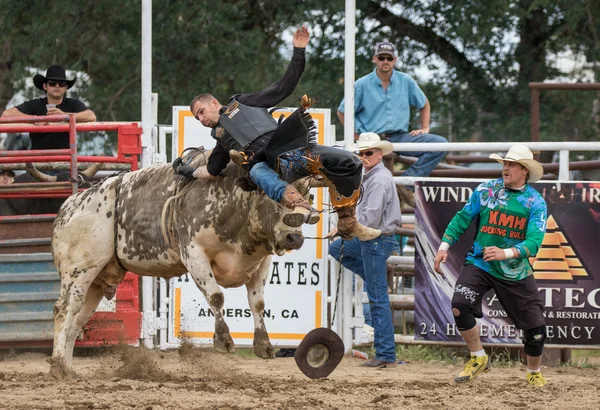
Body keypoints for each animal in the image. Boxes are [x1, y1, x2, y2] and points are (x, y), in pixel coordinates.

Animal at [48, 151, 310, 378]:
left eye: (306, 198)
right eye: (273, 197)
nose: (294, 238)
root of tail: (67, 208)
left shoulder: (262, 262)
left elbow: (257, 304)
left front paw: (264, 345)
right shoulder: (193, 253)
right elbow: (216, 296)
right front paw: (223, 340)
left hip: (95, 280)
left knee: (78, 318)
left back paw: (67, 368)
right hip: (78, 271)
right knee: (64, 310)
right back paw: (58, 367)